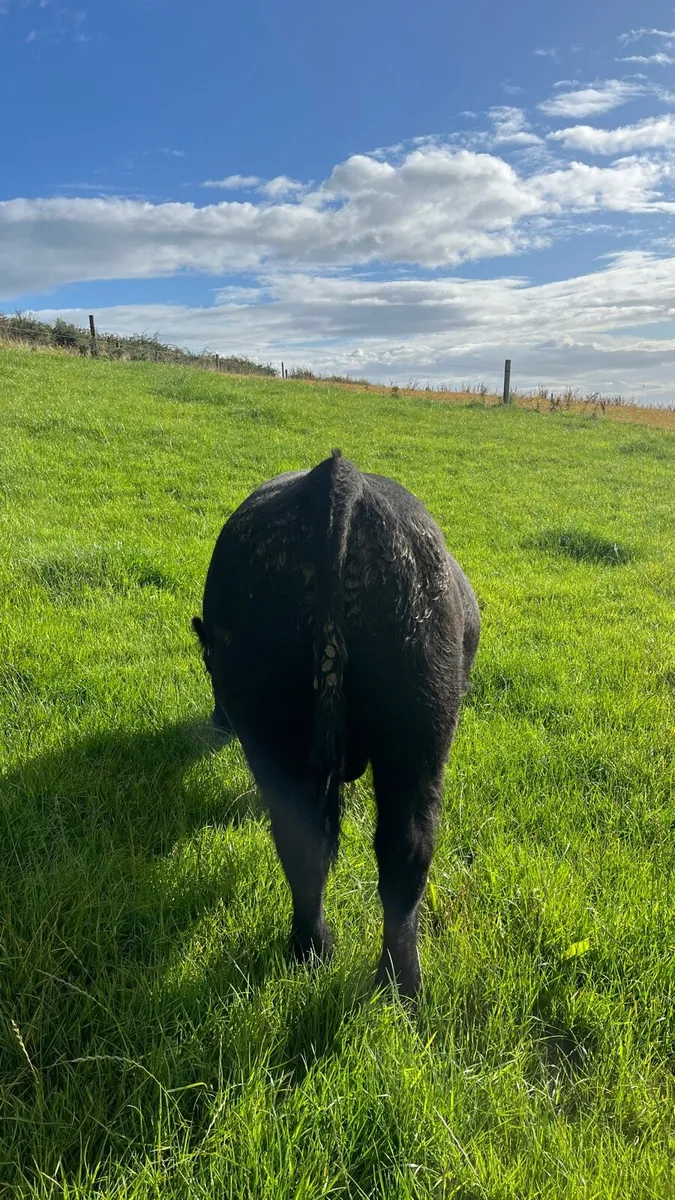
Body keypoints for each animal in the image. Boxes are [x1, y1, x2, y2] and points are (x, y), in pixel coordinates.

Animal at [192, 450, 479, 999]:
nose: (219, 723)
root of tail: (338, 481)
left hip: (305, 742)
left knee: (327, 845)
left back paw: (328, 957)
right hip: (415, 744)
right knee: (399, 851)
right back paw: (392, 982)